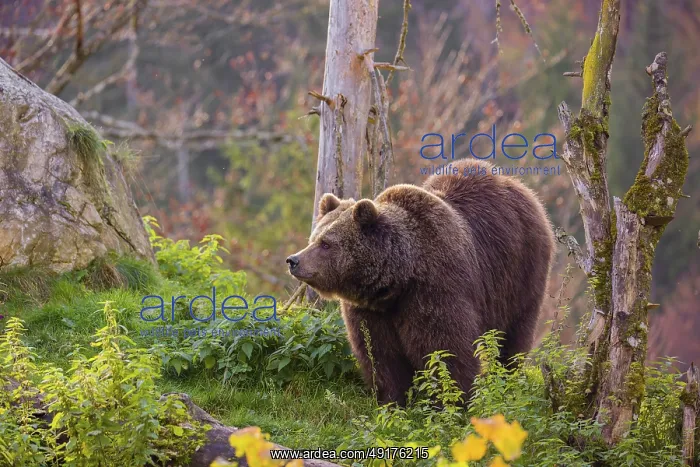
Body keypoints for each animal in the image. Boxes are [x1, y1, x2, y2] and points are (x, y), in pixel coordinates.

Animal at [286, 159, 554, 406]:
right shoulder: (370, 311)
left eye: (326, 244)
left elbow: (445, 349)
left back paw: (507, 376)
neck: (397, 280)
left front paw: (452, 401)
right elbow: (380, 355)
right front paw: (392, 401)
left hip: (520, 272)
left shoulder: (435, 289)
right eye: (314, 238)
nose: (294, 260)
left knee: (514, 332)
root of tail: (525, 191)